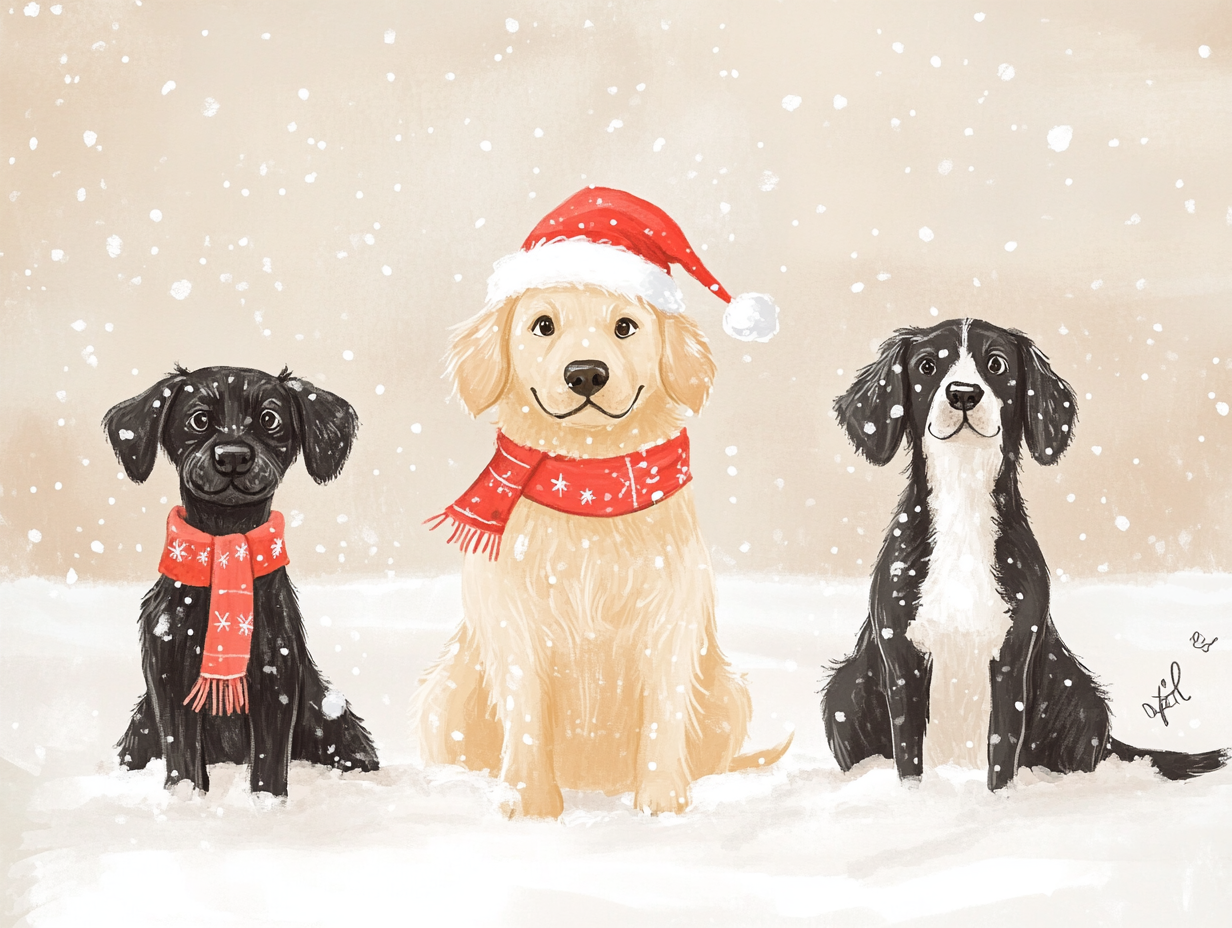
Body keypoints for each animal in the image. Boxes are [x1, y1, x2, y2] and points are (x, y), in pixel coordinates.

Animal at [106, 364, 379, 793]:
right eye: (199, 420)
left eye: (269, 418)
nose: (233, 456)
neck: (225, 539)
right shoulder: (169, 674)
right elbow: (182, 758)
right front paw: (187, 800)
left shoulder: (275, 676)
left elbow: (269, 764)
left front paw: (267, 805)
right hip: (140, 729)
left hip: (332, 720)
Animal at [822, 317, 1227, 788]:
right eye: (926, 366)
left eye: (996, 363)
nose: (963, 393)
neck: (964, 506)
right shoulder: (901, 658)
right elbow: (908, 757)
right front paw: (917, 799)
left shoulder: (1013, 658)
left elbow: (1002, 751)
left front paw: (1001, 802)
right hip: (843, 692)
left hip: (1081, 696)